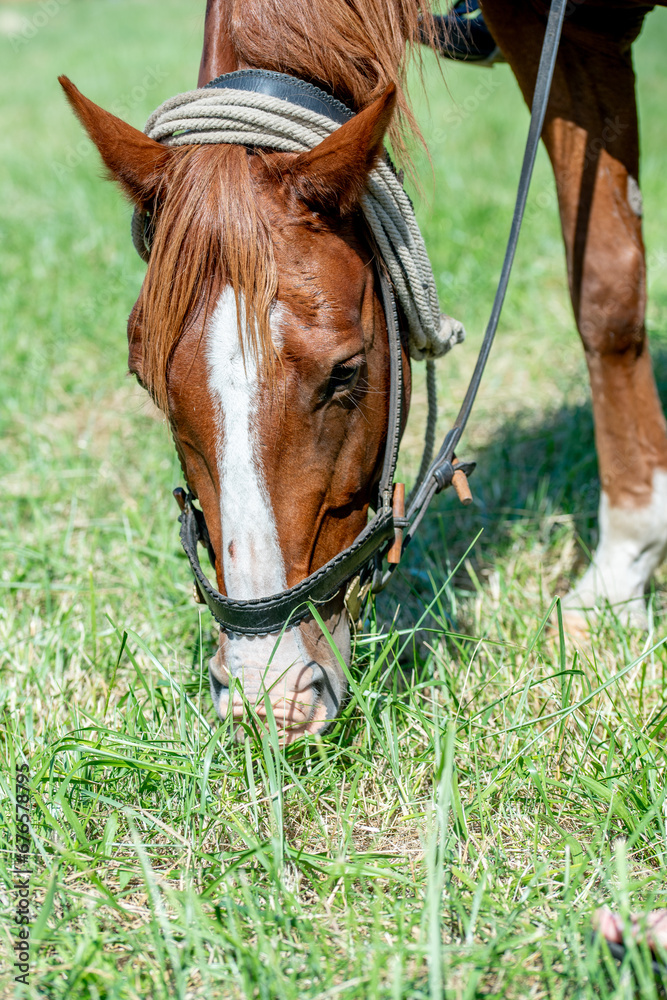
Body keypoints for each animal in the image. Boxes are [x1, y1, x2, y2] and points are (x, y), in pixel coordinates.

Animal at [59, 0, 667, 742]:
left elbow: (605, 291)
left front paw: (620, 571)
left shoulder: (576, 32)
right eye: (148, 382)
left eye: (344, 374)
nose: (270, 695)